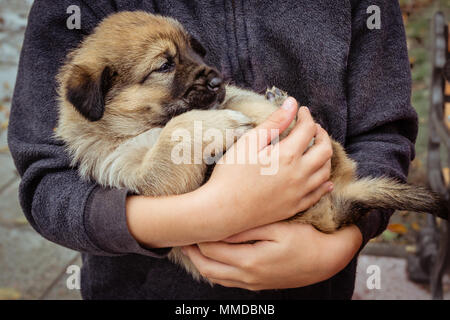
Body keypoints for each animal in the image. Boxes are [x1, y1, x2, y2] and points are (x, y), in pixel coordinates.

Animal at [54, 11, 448, 282]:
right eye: (164, 65)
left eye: (194, 52)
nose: (217, 79)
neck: (138, 126)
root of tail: (334, 207)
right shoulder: (144, 176)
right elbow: (175, 135)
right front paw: (217, 124)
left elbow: (235, 101)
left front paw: (253, 111)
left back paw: (285, 109)